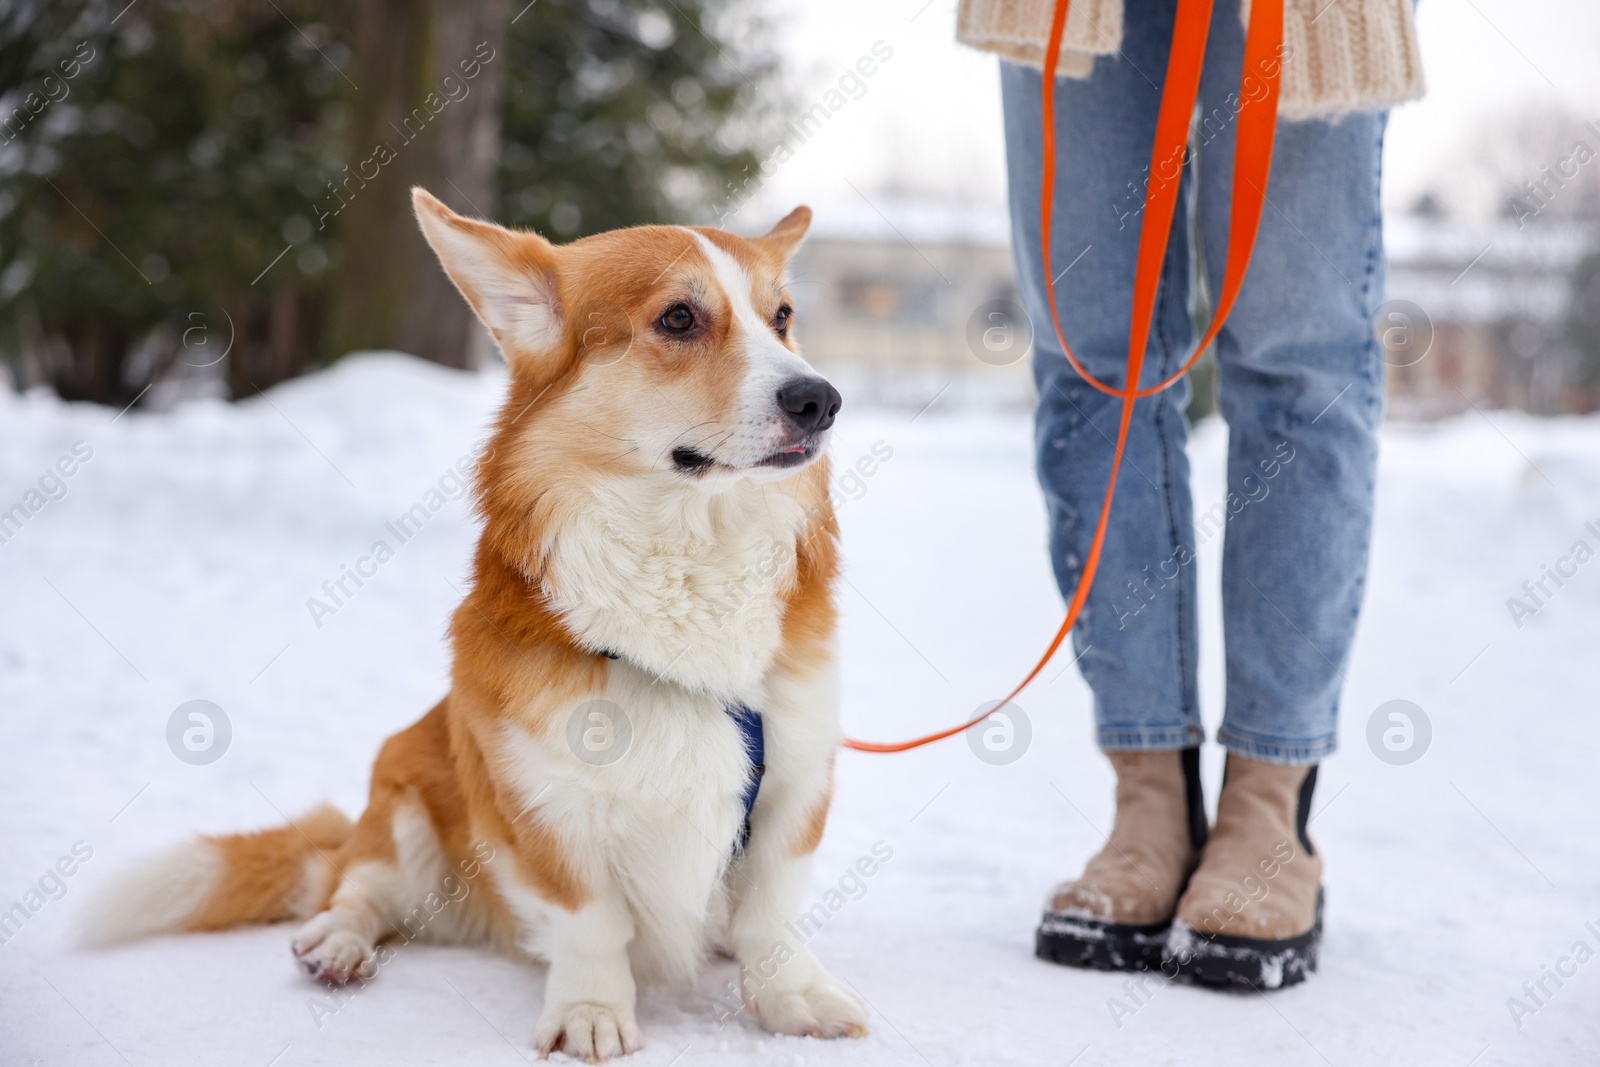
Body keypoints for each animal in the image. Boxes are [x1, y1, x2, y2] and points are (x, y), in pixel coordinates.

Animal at [86, 189, 864, 1062]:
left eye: (783, 317)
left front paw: (792, 995)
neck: (689, 551)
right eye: (678, 318)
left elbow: (771, 912)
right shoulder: (541, 806)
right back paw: (336, 945)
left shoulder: (794, 780)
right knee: (359, 892)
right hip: (403, 811)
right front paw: (590, 1012)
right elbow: (592, 922)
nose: (821, 400)